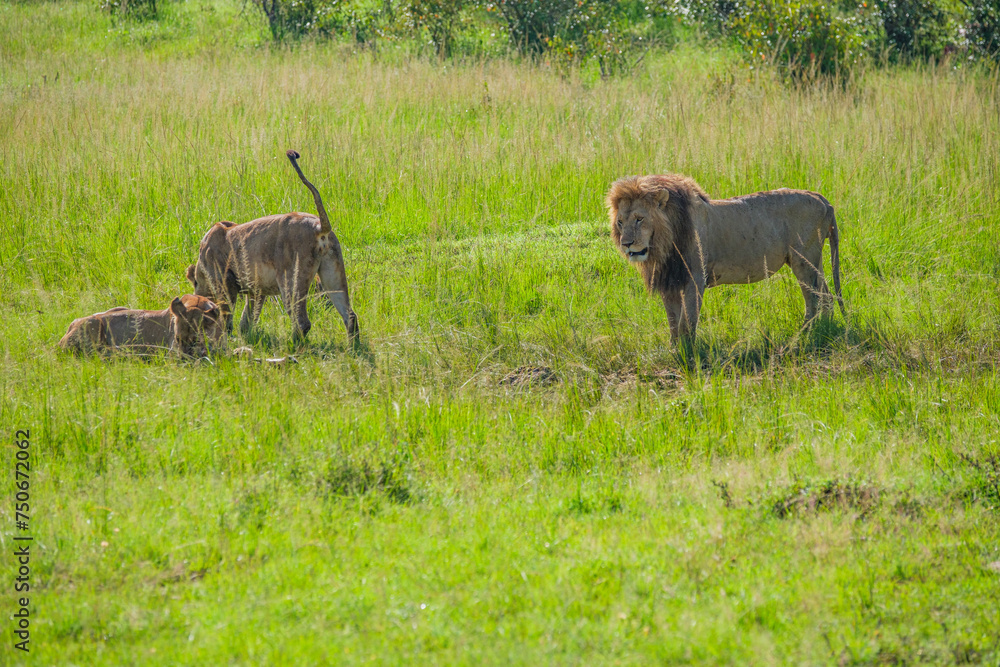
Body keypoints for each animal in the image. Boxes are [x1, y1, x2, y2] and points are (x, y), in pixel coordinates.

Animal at [187, 150, 359, 342]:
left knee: (302, 322)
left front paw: (226, 336)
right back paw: (354, 346)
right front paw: (246, 335)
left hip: (291, 279)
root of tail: (319, 226)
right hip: (333, 273)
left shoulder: (225, 281)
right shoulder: (256, 290)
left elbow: (227, 315)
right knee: (350, 315)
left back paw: (293, 345)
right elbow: (248, 317)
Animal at [606, 174, 844, 342]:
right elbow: (673, 322)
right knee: (827, 295)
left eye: (639, 219)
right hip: (815, 260)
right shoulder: (670, 282)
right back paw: (825, 330)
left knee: (813, 299)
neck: (664, 244)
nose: (627, 244)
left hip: (803, 260)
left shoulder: (695, 279)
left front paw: (689, 353)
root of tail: (822, 199)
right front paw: (675, 350)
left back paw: (804, 336)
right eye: (620, 222)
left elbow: (687, 321)